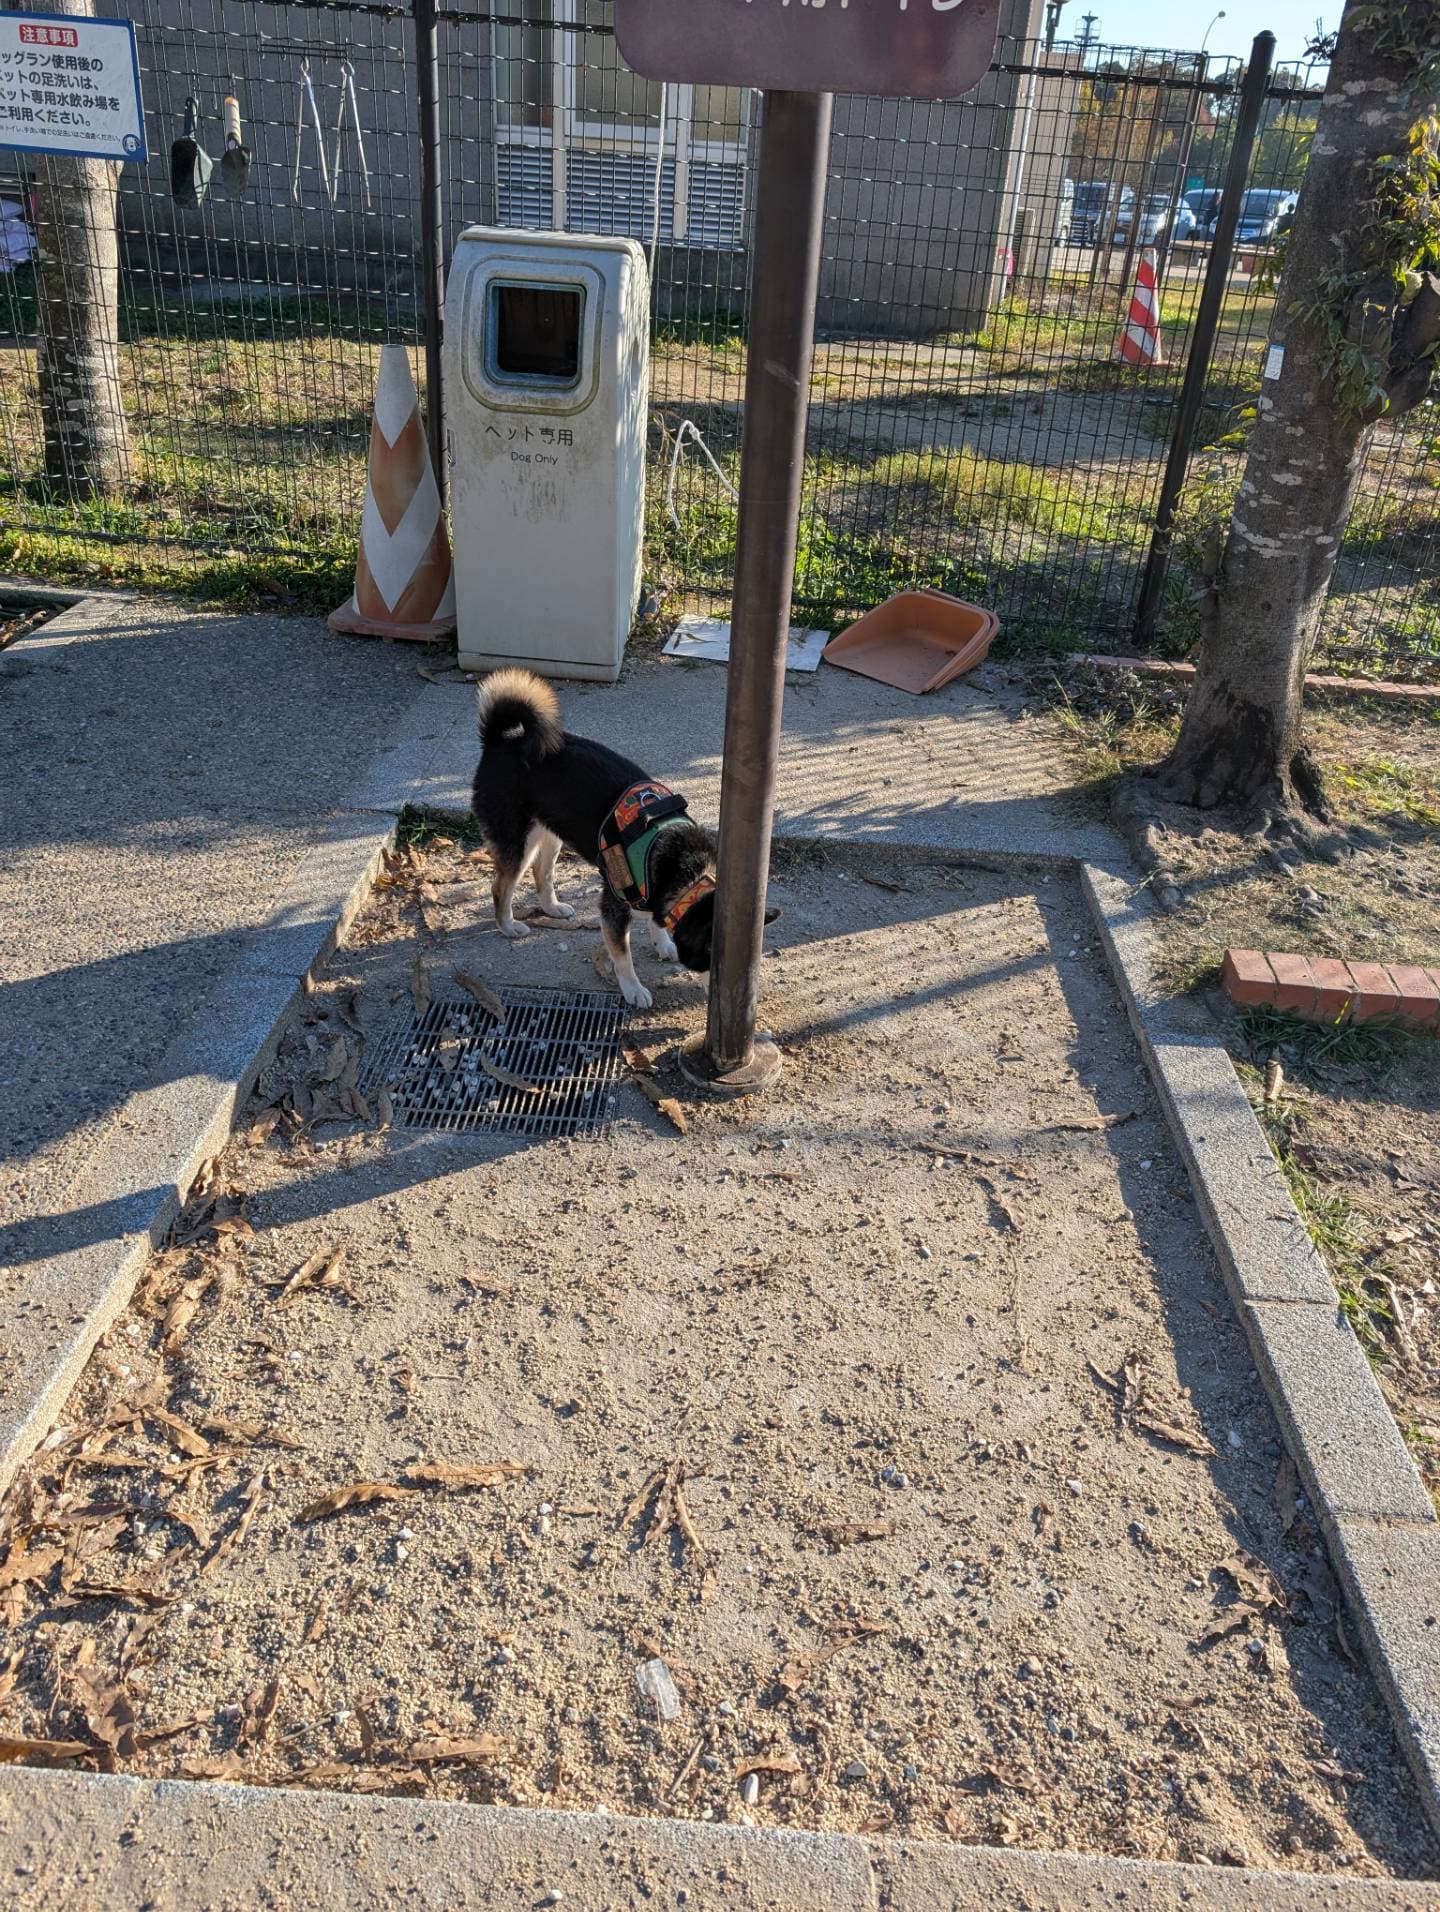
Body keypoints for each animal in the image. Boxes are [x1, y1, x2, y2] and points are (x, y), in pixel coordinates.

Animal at [472, 669, 773, 1009]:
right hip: (516, 841)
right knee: (501, 887)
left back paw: (552, 908)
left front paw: (662, 942)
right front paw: (633, 988)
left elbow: (655, 921)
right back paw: (507, 925)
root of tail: (501, 741)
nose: (731, 1000)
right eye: (717, 967)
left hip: (550, 834)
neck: (686, 866)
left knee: (542, 873)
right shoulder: (613, 908)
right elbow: (623, 957)